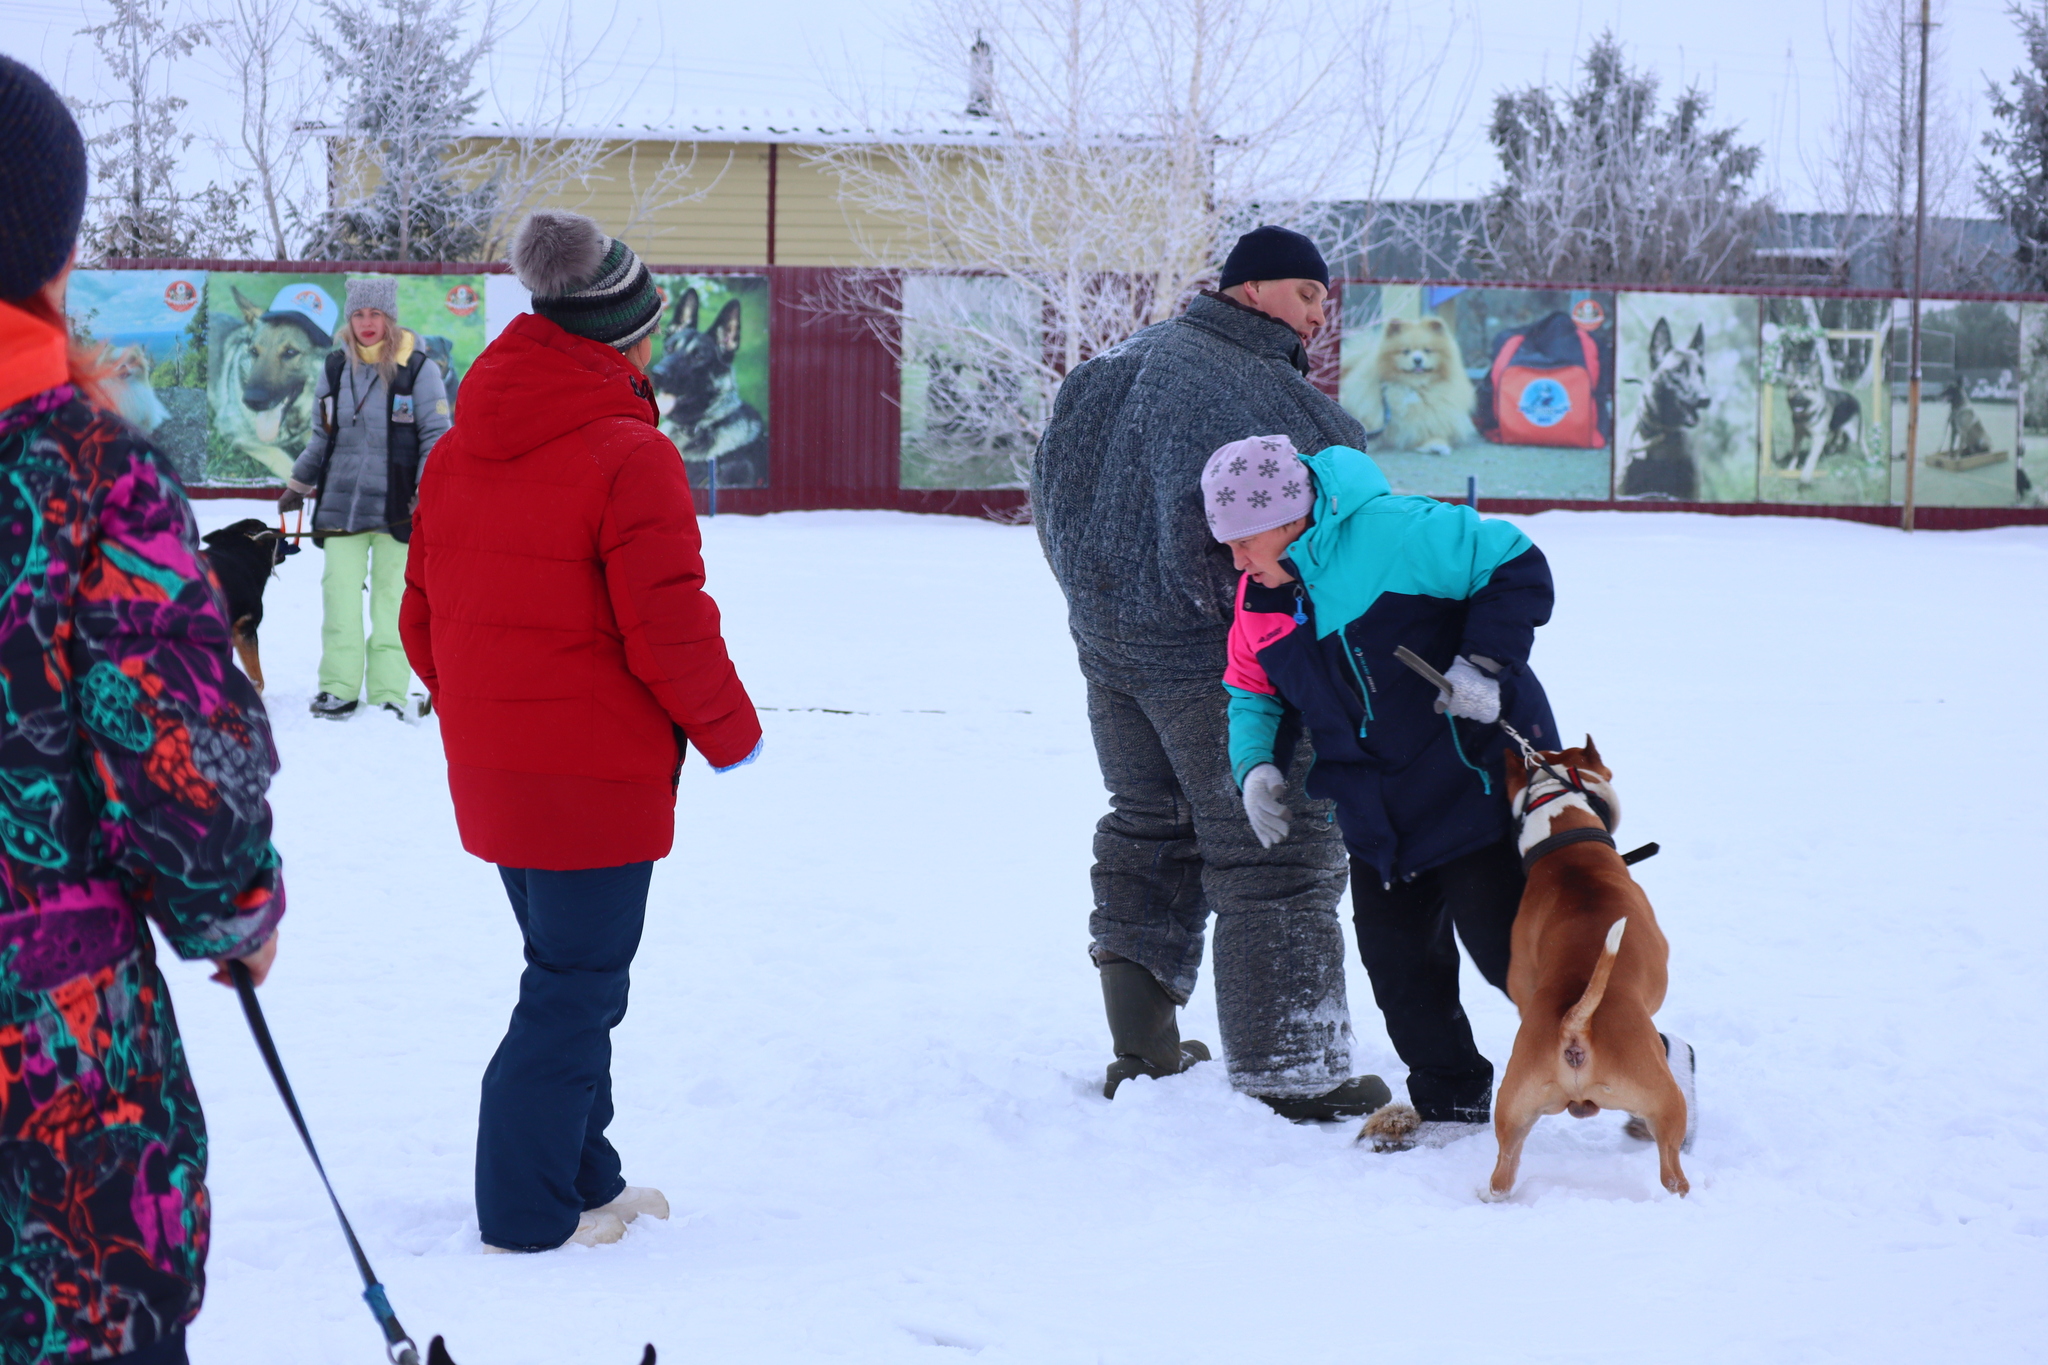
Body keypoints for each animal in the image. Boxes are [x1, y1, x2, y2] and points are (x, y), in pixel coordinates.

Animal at [1490, 740, 1695, 1203]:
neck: (1565, 847)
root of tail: (1574, 1026)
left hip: (1514, 1112)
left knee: (1501, 1174)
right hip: (1665, 1104)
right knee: (1673, 1175)